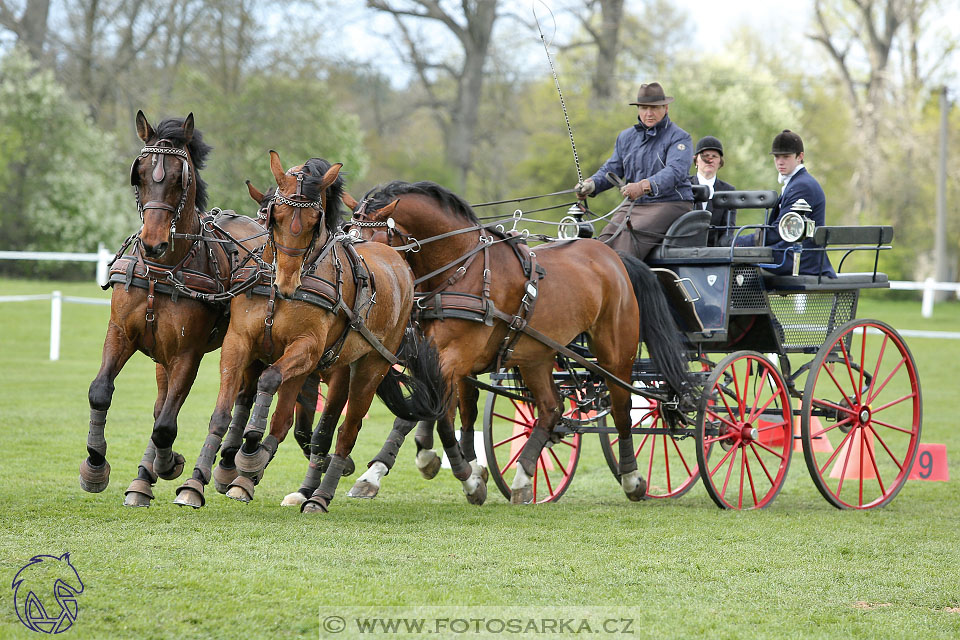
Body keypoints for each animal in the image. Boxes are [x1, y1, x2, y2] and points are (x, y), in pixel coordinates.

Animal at [79, 110, 270, 504]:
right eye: (139, 173)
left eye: (180, 179)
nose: (152, 243)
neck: (161, 271)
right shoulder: (121, 334)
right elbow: (101, 392)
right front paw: (95, 465)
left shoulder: (187, 353)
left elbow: (166, 424)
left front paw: (169, 464)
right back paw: (143, 477)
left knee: (242, 397)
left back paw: (230, 468)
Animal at [173, 152, 446, 512]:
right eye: (274, 216)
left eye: (316, 219)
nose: (286, 282)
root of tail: (399, 263)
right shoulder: (240, 344)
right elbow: (226, 412)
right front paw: (197, 482)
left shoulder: (306, 349)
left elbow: (271, 388)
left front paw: (250, 455)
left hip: (369, 366)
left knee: (347, 430)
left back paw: (320, 494)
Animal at [348, 181, 692, 504]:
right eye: (347, 235)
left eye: (373, 239)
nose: (363, 285)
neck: (461, 268)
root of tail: (614, 256)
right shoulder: (436, 358)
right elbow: (429, 412)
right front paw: (382, 471)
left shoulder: (456, 358)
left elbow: (440, 413)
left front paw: (465, 476)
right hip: (536, 357)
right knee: (552, 408)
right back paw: (525, 476)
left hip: (616, 352)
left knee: (622, 408)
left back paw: (632, 478)